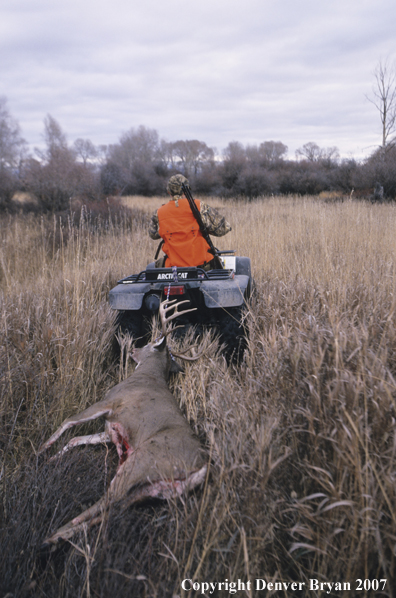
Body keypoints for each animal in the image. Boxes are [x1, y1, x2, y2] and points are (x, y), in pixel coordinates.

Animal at [38, 300, 209, 548]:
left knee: (105, 501)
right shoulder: (111, 430)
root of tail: (203, 466)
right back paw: (60, 537)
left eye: (151, 340)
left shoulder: (110, 402)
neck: (147, 375)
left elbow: (69, 421)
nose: (133, 349)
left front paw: (42, 450)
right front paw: (52, 459)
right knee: (114, 508)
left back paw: (51, 536)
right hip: (155, 488)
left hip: (142, 461)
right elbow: (76, 439)